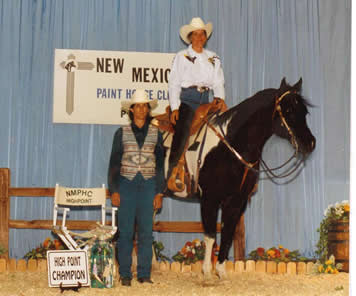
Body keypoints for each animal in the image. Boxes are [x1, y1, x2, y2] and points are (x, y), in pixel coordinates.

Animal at [163, 77, 316, 280]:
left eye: (304, 111)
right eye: (289, 110)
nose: (310, 143)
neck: (230, 147)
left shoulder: (236, 201)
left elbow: (227, 234)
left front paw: (221, 272)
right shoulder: (210, 199)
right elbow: (210, 236)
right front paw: (207, 273)